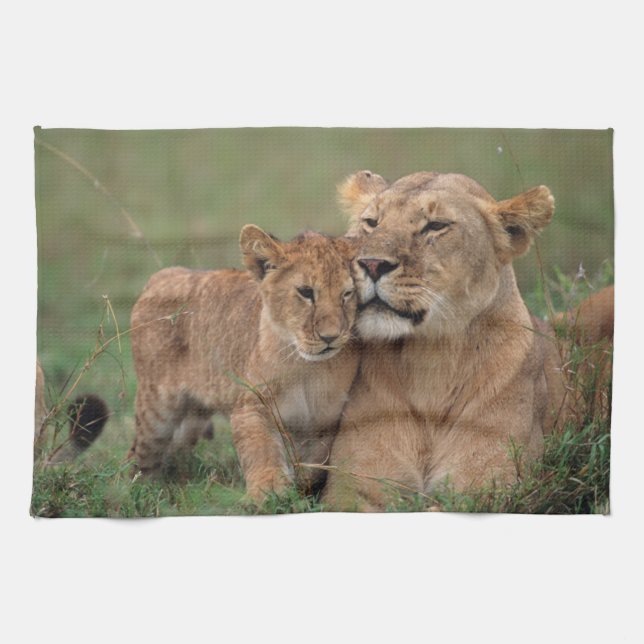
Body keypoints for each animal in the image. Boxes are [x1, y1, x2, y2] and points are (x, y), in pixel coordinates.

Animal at [129, 225, 360, 501]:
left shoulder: (324, 423)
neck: (307, 368)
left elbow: (313, 464)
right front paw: (268, 491)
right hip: (156, 408)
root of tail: (162, 275)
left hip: (193, 415)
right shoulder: (252, 405)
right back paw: (135, 490)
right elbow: (260, 448)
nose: (330, 337)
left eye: (347, 294)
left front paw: (302, 489)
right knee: (139, 454)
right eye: (306, 292)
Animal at [323, 169, 611, 511]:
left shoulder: (490, 485)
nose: (371, 264)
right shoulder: (352, 487)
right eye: (371, 222)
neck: (430, 360)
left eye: (435, 226)